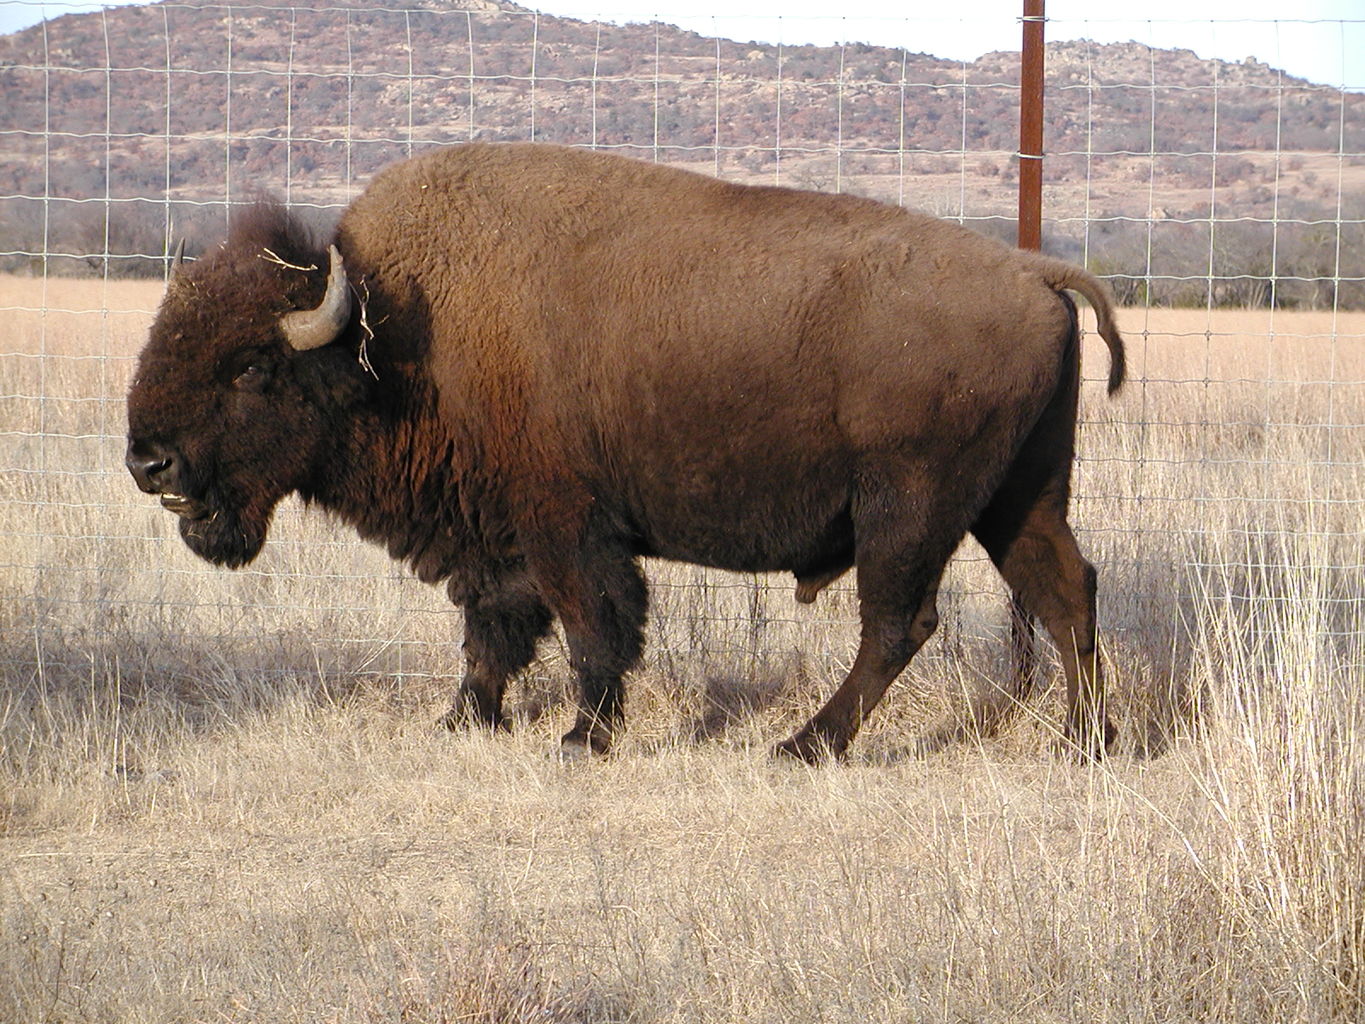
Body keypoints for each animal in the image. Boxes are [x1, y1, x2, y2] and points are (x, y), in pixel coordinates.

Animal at [128, 142, 1124, 764]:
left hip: (907, 508)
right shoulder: (494, 535)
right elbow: (493, 628)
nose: (149, 464)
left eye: (252, 366)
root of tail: (1035, 272)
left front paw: (580, 739)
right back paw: (1084, 744)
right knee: (1064, 590)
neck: (394, 334)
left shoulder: (564, 525)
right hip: (1019, 496)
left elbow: (591, 626)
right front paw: (463, 722)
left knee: (900, 623)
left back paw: (804, 746)